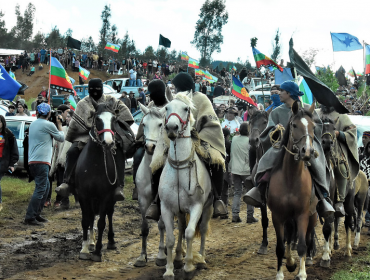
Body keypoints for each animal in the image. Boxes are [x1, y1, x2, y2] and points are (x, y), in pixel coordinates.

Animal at [158, 92, 212, 280]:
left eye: (186, 108)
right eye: (166, 107)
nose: (172, 128)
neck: (179, 169)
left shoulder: (196, 207)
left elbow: (190, 233)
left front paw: (189, 266)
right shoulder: (166, 208)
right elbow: (170, 238)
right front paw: (168, 270)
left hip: (207, 207)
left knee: (202, 229)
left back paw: (201, 258)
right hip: (180, 211)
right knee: (181, 227)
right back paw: (179, 258)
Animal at [268, 101, 316, 280]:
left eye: (313, 126)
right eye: (294, 125)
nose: (307, 151)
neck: (290, 178)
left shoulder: (302, 214)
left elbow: (302, 245)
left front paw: (301, 273)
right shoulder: (277, 216)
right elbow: (280, 246)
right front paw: (280, 273)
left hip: (312, 216)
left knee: (308, 239)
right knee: (288, 238)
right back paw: (289, 262)